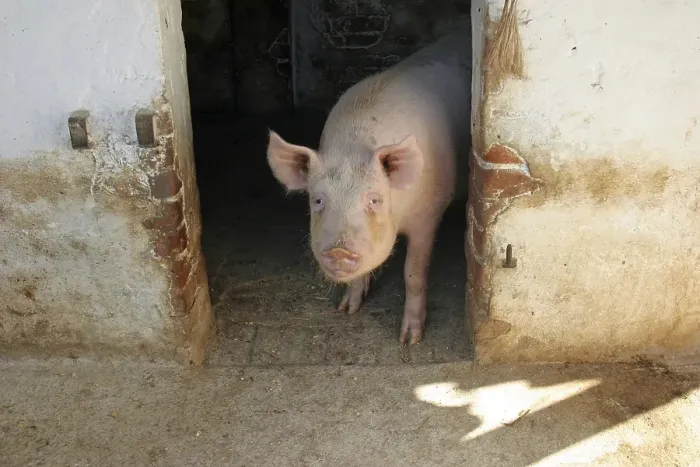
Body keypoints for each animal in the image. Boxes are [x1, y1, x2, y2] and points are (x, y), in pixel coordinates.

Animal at [266, 29, 471, 344]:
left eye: (374, 200)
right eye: (318, 200)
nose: (339, 251)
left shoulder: (429, 214)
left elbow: (413, 273)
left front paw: (409, 339)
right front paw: (347, 309)